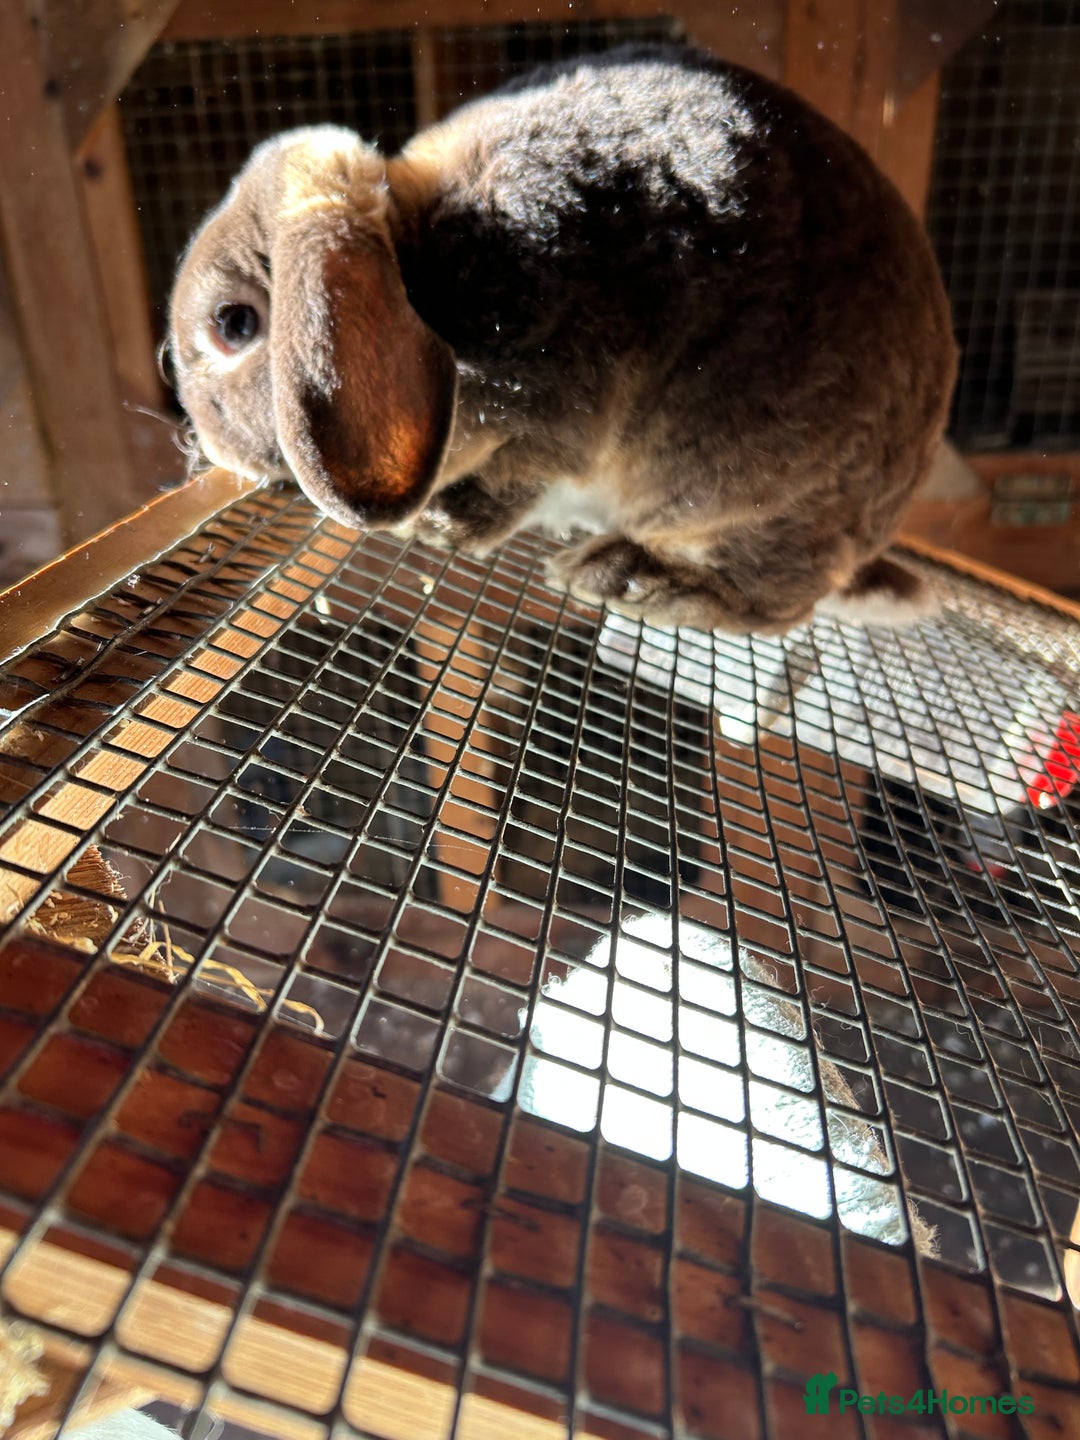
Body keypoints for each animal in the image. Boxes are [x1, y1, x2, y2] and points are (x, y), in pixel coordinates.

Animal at [167, 44, 957, 635]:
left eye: (233, 325)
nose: (207, 448)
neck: (430, 267)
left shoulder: (555, 395)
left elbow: (517, 480)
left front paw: (438, 530)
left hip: (750, 503)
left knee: (773, 601)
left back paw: (633, 580)